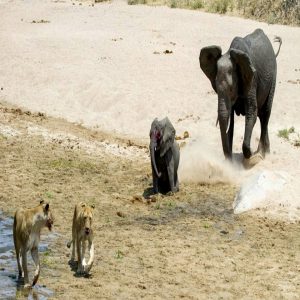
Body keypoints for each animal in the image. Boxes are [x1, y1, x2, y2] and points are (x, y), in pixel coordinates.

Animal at [199, 29, 282, 162]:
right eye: (216, 89)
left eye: (231, 89)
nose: (229, 158)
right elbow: (230, 121)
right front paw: (229, 161)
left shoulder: (252, 79)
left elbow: (251, 113)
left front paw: (251, 154)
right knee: (261, 115)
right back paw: (265, 152)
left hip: (273, 76)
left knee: (266, 113)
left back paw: (261, 154)